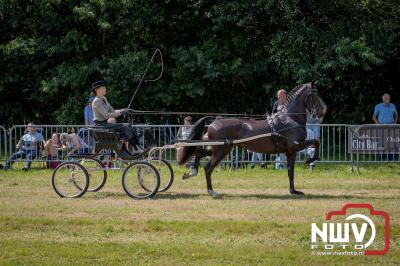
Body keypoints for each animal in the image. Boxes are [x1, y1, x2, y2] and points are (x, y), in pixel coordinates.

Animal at [177, 82, 324, 198]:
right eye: (315, 95)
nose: (321, 112)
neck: (289, 119)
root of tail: (214, 121)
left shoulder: (290, 152)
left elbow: (290, 171)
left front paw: (294, 191)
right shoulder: (294, 147)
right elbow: (316, 142)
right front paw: (309, 160)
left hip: (221, 149)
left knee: (199, 153)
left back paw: (191, 173)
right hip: (220, 151)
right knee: (208, 168)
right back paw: (212, 192)